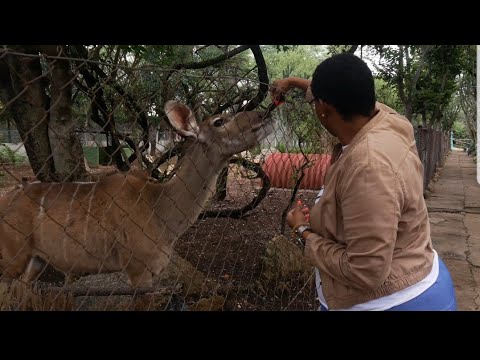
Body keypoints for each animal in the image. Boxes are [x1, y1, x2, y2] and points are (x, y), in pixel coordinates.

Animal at [0, 100, 274, 286]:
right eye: (219, 121)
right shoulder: (138, 269)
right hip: (10, 262)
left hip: (34, 262)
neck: (160, 209)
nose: (265, 115)